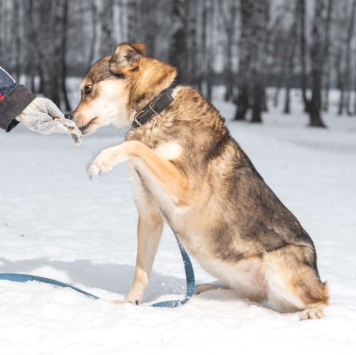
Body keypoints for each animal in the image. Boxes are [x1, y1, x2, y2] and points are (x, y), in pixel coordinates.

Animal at [68, 43, 330, 322]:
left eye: (87, 89)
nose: (68, 116)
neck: (155, 110)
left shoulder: (184, 189)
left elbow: (136, 145)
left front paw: (102, 160)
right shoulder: (150, 215)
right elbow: (140, 272)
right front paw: (130, 305)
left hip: (281, 270)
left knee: (322, 299)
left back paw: (310, 313)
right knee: (245, 294)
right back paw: (203, 289)